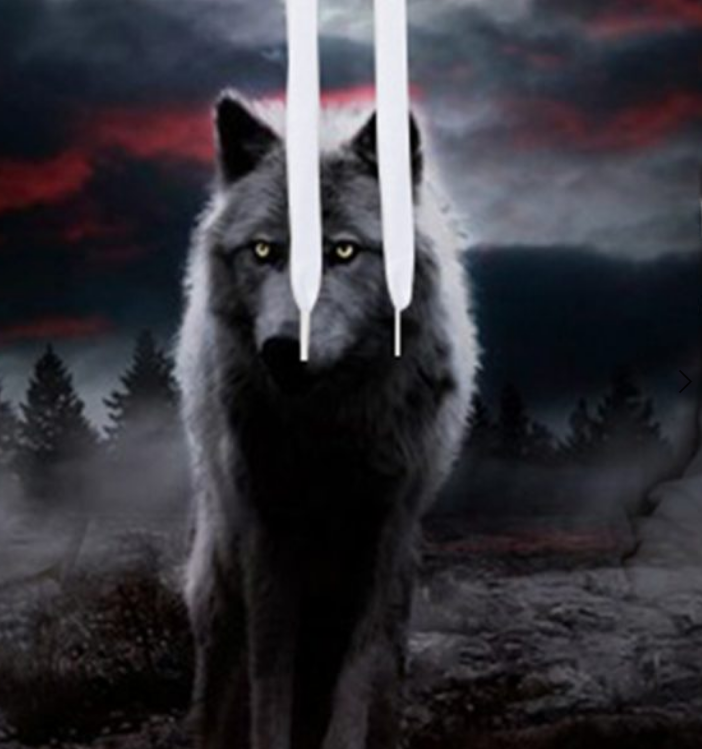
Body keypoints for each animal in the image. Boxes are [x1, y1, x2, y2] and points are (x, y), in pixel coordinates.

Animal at [176, 90, 478, 749]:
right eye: (265, 250)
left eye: (342, 251)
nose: (282, 350)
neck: (328, 427)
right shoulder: (267, 533)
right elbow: (270, 682)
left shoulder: (382, 534)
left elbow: (355, 681)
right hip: (219, 579)